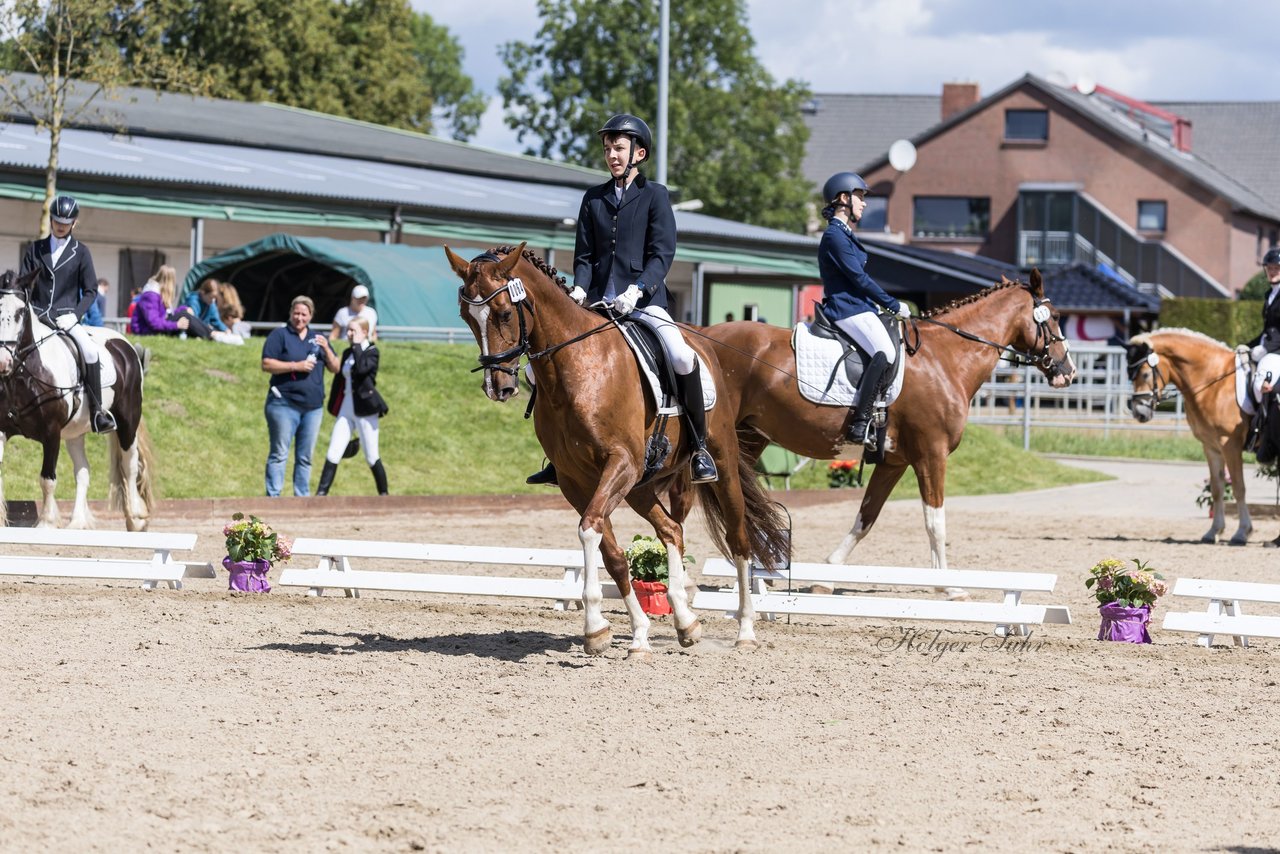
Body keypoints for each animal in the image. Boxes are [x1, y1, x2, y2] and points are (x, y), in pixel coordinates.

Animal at [448, 243, 788, 660]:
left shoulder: (620, 463)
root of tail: (704, 344)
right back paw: (685, 623)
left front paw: (595, 625)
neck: (573, 369)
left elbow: (589, 530)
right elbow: (611, 553)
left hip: (718, 461)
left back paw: (745, 630)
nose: (498, 387)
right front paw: (633, 634)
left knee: (738, 539)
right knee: (672, 529)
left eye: (505, 313)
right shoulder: (576, 480)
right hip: (641, 484)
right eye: (467, 317)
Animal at [696, 273, 1075, 588]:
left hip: (749, 437)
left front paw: (826, 577)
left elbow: (866, 518)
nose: (1068, 371)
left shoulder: (895, 462)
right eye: (1055, 317)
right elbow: (935, 522)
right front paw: (949, 588)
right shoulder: (931, 455)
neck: (946, 358)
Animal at [1126, 330, 1254, 545]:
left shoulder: (1230, 445)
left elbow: (1238, 488)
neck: (1215, 383)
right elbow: (1217, 489)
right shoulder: (1211, 447)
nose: (1139, 413)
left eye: (1145, 374)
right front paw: (1214, 531)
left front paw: (1242, 532)